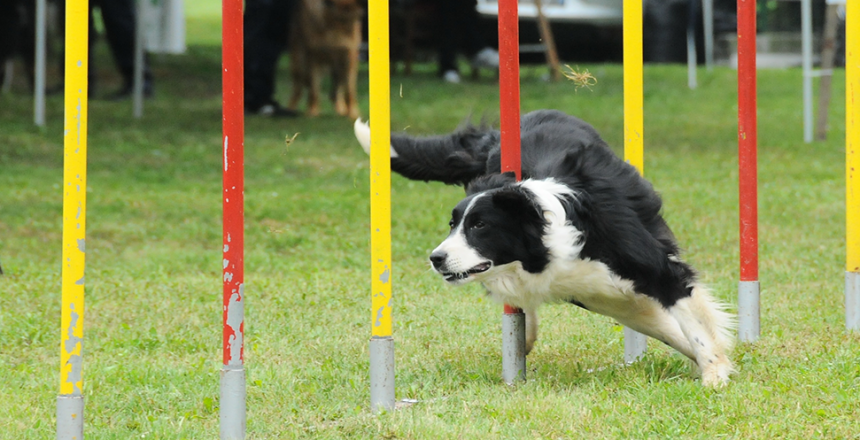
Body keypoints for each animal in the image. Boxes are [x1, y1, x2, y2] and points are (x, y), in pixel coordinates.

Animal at [354, 109, 732, 384]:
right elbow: (670, 328)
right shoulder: (596, 291)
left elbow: (691, 324)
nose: (436, 258)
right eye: (453, 224)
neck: (548, 244)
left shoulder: (653, 270)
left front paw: (714, 373)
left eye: (479, 225)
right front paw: (715, 365)